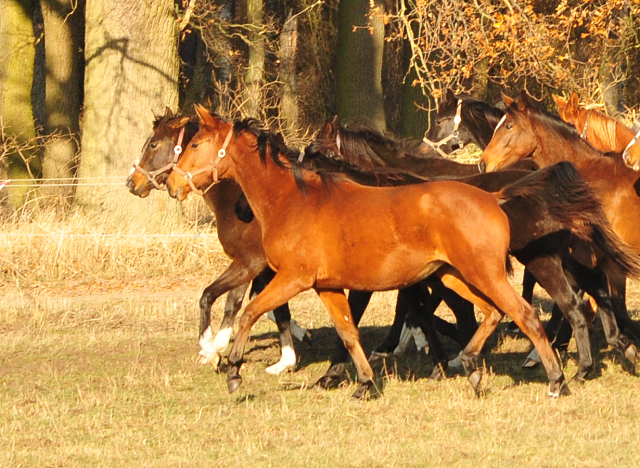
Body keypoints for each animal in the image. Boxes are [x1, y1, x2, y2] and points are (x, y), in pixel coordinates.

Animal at [124, 108, 312, 374]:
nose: (132, 182)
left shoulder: (249, 262)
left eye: (153, 144)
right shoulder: (263, 268)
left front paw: (211, 349)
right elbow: (275, 310)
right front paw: (289, 355)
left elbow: (224, 300)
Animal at [166, 105, 568, 398]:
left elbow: (249, 313)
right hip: (452, 276)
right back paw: (469, 364)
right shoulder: (326, 286)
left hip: (483, 274)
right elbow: (348, 333)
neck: (293, 200)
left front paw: (233, 371)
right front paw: (364, 383)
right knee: (491, 313)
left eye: (195, 146)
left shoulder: (293, 279)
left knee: (525, 314)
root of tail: (492, 197)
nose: (171, 184)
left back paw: (555, 380)